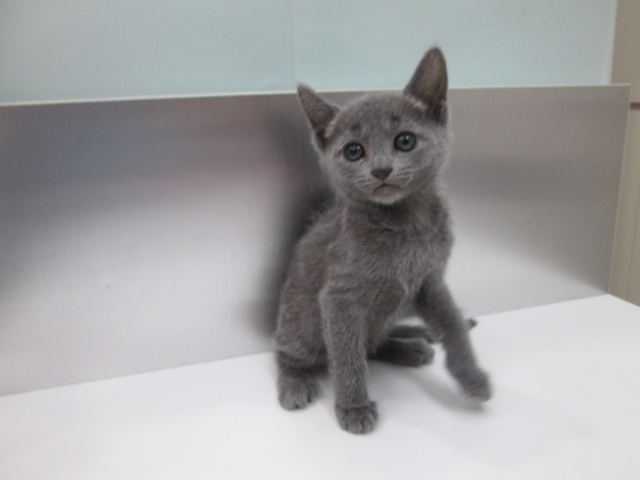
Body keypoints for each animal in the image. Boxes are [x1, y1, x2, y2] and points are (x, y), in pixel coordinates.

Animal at [275, 47, 491, 434]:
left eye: (404, 140)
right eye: (354, 151)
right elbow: (347, 355)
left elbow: (452, 325)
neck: (406, 225)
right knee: (292, 353)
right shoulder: (338, 298)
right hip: (300, 323)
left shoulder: (429, 280)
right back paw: (294, 383)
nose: (380, 169)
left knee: (373, 343)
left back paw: (411, 345)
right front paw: (353, 407)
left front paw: (472, 376)